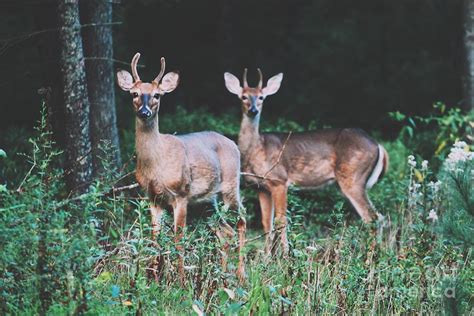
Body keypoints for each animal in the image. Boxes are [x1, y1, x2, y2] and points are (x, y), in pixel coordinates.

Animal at [224, 68, 386, 254]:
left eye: (261, 97)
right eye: (243, 96)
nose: (253, 110)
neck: (257, 148)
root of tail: (377, 145)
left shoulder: (279, 180)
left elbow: (281, 221)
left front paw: (285, 256)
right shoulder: (261, 187)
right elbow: (267, 223)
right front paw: (266, 257)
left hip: (353, 177)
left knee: (373, 217)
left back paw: (372, 256)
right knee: (378, 217)